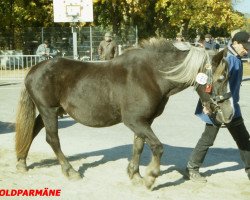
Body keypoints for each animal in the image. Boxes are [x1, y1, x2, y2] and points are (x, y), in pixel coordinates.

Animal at [15, 38, 233, 190]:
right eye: (221, 78)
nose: (229, 114)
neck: (152, 76)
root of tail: (34, 69)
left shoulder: (144, 121)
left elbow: (138, 146)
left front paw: (135, 175)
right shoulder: (134, 120)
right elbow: (157, 146)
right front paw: (150, 177)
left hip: (48, 112)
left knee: (32, 131)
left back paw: (21, 162)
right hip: (48, 111)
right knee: (52, 139)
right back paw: (70, 171)